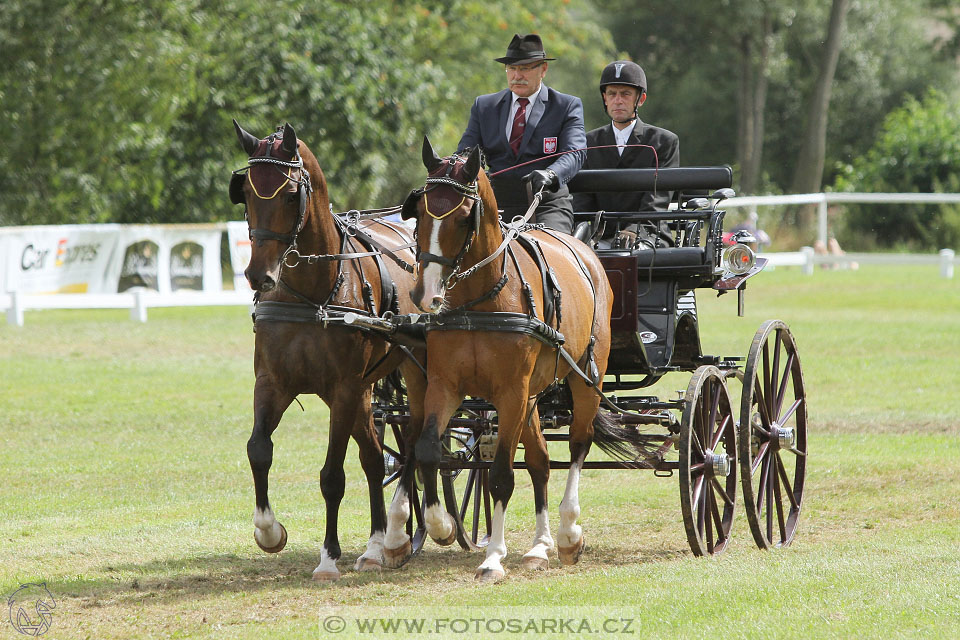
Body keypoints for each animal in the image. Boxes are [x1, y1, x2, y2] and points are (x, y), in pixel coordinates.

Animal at [229, 120, 424, 580]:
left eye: (289, 193)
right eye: (246, 193)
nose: (258, 275)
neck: (312, 292)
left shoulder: (343, 389)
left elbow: (332, 476)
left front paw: (328, 557)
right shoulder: (273, 382)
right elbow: (258, 449)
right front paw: (269, 531)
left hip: (415, 375)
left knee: (416, 443)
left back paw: (401, 531)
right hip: (366, 391)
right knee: (375, 457)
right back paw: (375, 547)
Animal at [386, 139, 628, 580]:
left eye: (463, 217)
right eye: (420, 213)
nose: (424, 295)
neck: (481, 300)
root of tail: (588, 252)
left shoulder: (511, 392)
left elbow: (500, 474)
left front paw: (493, 557)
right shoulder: (446, 386)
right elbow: (427, 448)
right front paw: (441, 525)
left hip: (585, 377)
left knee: (578, 443)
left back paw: (568, 534)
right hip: (531, 397)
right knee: (540, 461)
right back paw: (539, 546)